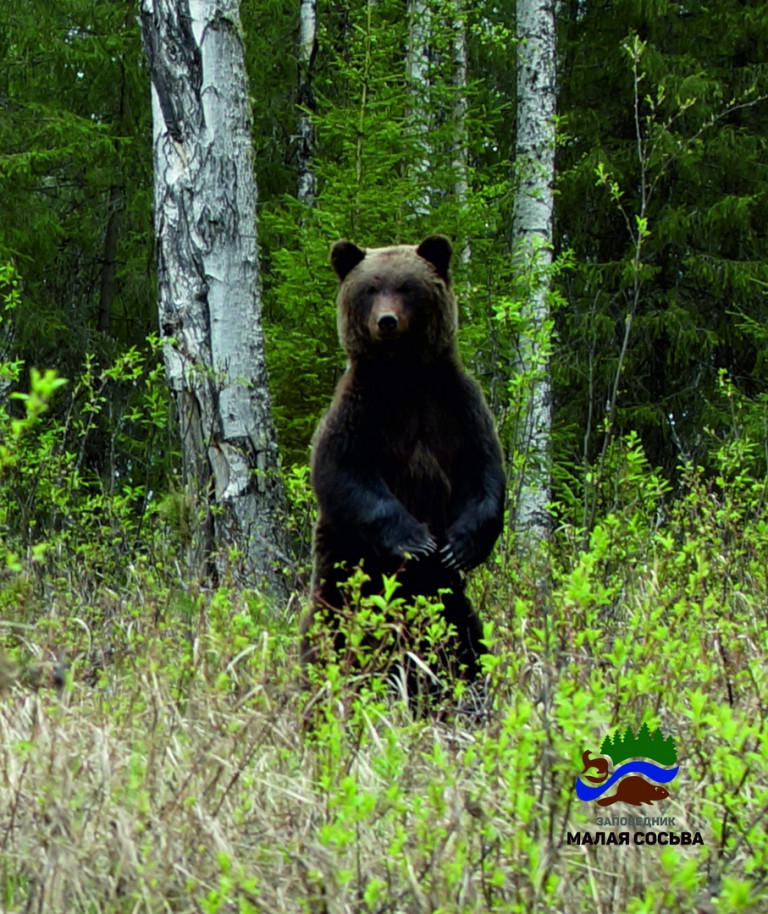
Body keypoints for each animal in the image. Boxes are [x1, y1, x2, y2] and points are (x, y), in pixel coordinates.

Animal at [298, 233, 504, 684]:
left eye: (407, 286)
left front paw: (458, 546)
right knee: (328, 636)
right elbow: (345, 474)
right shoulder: (362, 412)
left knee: (467, 641)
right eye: (370, 288)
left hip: (447, 600)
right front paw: (417, 542)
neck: (405, 376)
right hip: (342, 576)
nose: (387, 321)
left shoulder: (456, 406)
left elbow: (483, 473)